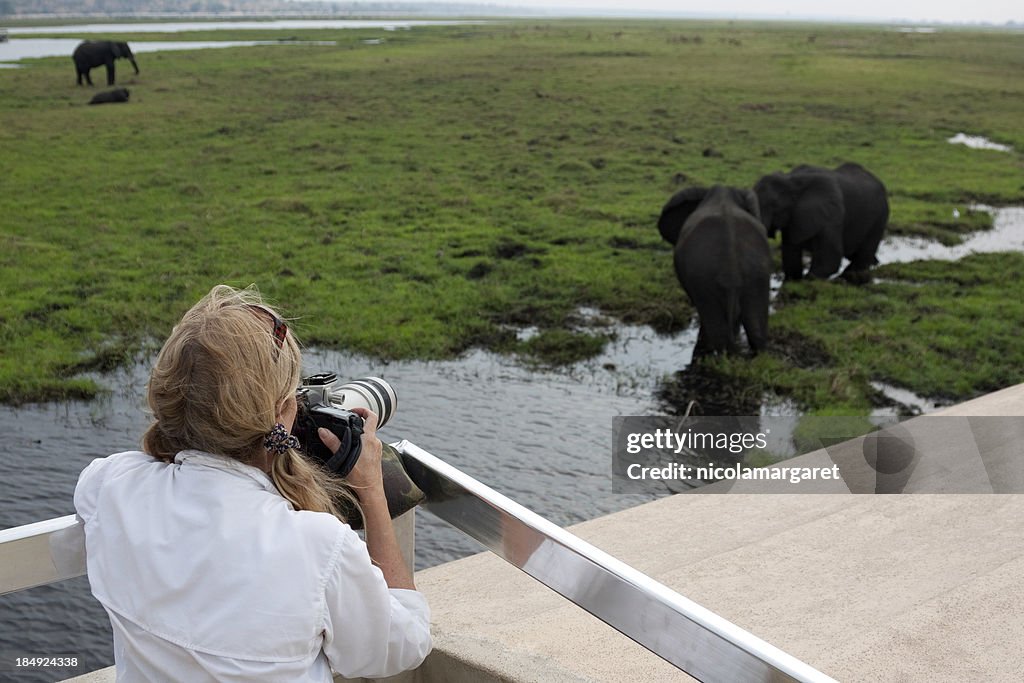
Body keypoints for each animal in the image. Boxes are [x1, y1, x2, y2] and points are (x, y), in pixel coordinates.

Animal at [753, 162, 888, 282]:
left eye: (774, 205)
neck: (790, 181)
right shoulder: (793, 218)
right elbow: (790, 253)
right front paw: (792, 282)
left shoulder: (832, 215)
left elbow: (830, 260)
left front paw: (807, 282)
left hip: (880, 216)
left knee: (864, 252)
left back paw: (846, 278)